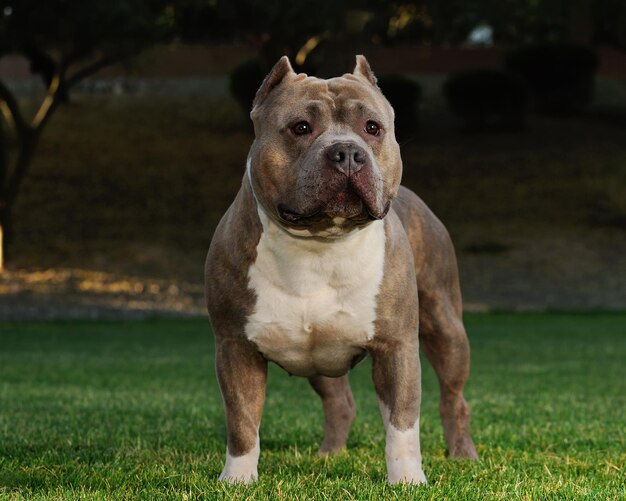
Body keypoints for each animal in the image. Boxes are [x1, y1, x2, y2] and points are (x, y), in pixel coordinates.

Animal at [202, 55, 476, 484]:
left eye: (372, 128)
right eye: (300, 127)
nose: (347, 152)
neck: (320, 245)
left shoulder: (396, 348)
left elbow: (402, 424)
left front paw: (407, 479)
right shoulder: (235, 348)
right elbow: (243, 421)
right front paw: (237, 479)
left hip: (446, 329)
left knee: (453, 399)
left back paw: (463, 455)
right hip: (317, 358)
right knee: (339, 401)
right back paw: (328, 454)